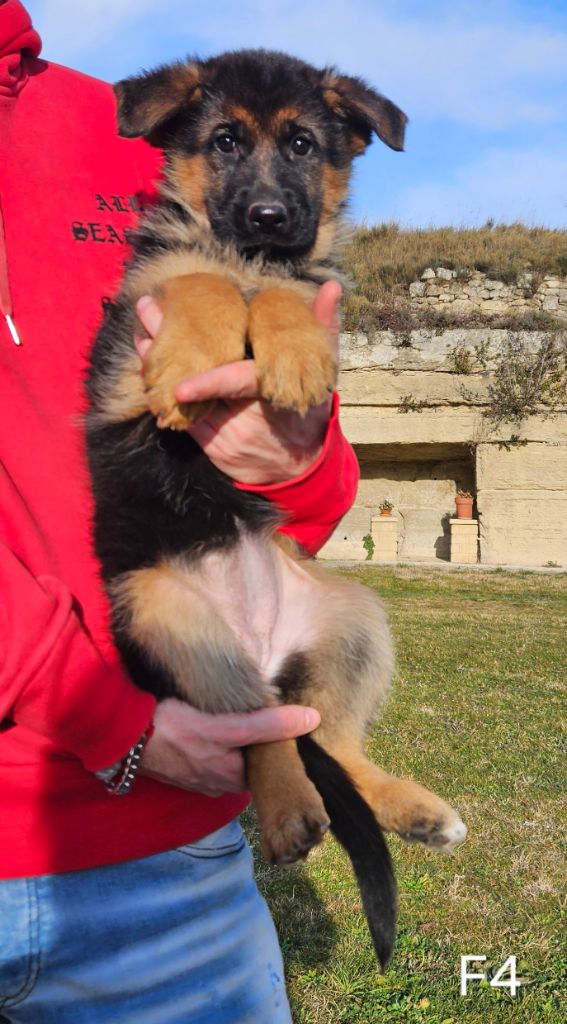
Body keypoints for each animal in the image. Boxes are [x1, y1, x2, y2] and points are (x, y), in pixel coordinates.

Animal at [83, 49, 462, 966]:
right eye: (223, 140)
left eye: (300, 144)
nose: (267, 215)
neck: (248, 255)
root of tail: (263, 643)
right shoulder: (124, 368)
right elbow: (195, 278)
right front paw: (197, 349)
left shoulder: (305, 289)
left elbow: (289, 298)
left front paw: (289, 351)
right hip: (173, 619)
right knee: (265, 729)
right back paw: (291, 811)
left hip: (354, 618)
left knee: (323, 734)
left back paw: (411, 810)